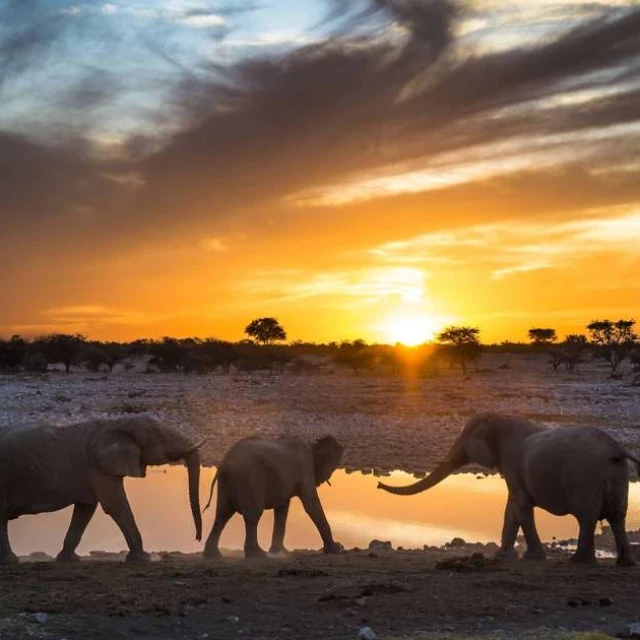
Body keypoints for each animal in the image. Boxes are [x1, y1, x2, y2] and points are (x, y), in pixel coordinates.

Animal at [0, 416, 205, 560]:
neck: (117, 423)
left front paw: (69, 559)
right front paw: (142, 558)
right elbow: (115, 505)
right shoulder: (98, 466)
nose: (197, 539)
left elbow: (86, 509)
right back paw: (11, 560)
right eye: (161, 437)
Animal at [204, 432, 344, 556]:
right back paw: (257, 554)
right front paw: (336, 549)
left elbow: (282, 510)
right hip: (250, 479)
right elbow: (311, 504)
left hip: (226, 483)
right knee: (252, 515)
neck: (313, 443)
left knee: (223, 514)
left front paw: (278, 552)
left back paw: (213, 554)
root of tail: (225, 462)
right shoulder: (305, 468)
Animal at [378, 410, 640, 564]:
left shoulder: (513, 464)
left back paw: (579, 562)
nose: (379, 485)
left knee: (586, 519)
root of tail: (616, 449)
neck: (501, 418)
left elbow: (520, 505)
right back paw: (623, 563)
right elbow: (512, 508)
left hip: (586, 478)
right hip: (618, 477)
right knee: (618, 518)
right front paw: (503, 556)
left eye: (462, 443)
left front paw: (531, 558)